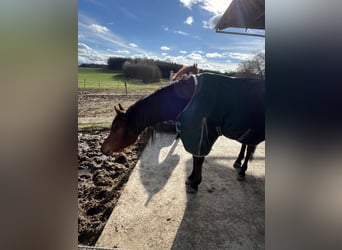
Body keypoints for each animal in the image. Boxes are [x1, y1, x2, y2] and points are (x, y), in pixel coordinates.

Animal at [101, 73, 264, 192]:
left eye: (116, 128)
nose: (103, 149)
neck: (189, 98)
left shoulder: (202, 134)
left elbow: (198, 159)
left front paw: (195, 183)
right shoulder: (195, 134)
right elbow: (195, 158)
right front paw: (191, 178)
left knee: (250, 148)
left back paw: (242, 171)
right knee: (246, 145)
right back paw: (238, 162)